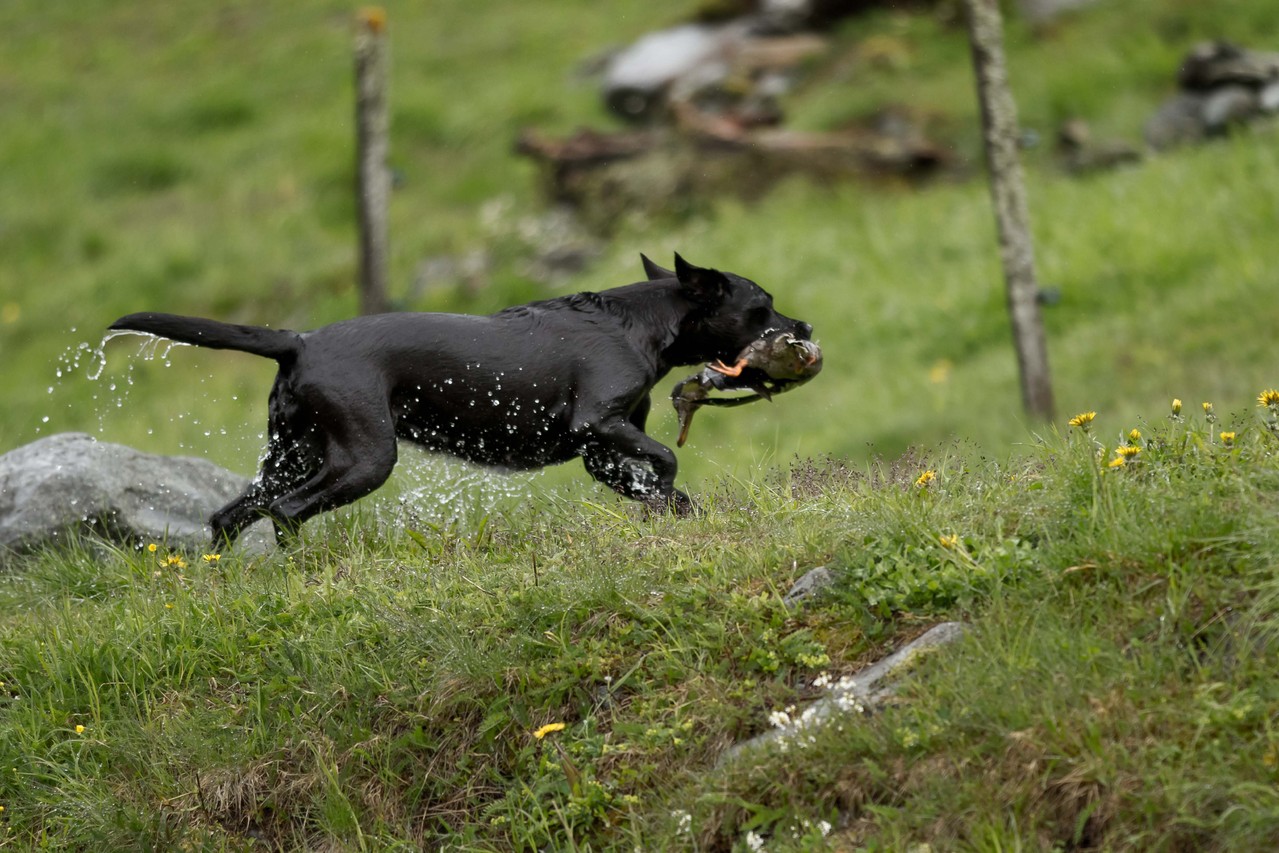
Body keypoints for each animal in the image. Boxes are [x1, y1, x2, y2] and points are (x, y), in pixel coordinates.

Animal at [109, 253, 808, 547]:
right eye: (762, 306)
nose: (801, 329)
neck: (639, 321)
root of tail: (299, 341)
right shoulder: (599, 424)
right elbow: (666, 457)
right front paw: (669, 494)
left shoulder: (600, 451)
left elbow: (658, 481)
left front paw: (679, 514)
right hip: (363, 458)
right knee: (286, 513)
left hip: (292, 452)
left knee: (230, 516)